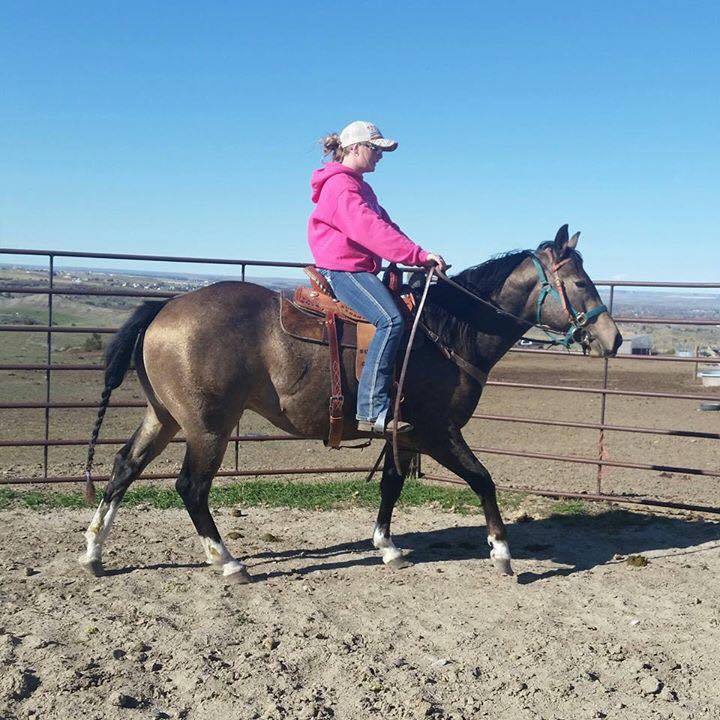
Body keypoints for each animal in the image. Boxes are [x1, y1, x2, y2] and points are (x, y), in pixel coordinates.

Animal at [79, 225, 621, 582]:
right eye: (579, 283)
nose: (612, 338)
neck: (444, 332)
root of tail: (163, 309)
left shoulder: (403, 433)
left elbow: (392, 484)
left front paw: (388, 547)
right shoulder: (438, 430)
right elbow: (482, 479)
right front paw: (502, 551)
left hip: (165, 418)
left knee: (124, 467)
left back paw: (94, 553)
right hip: (208, 427)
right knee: (191, 487)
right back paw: (229, 562)